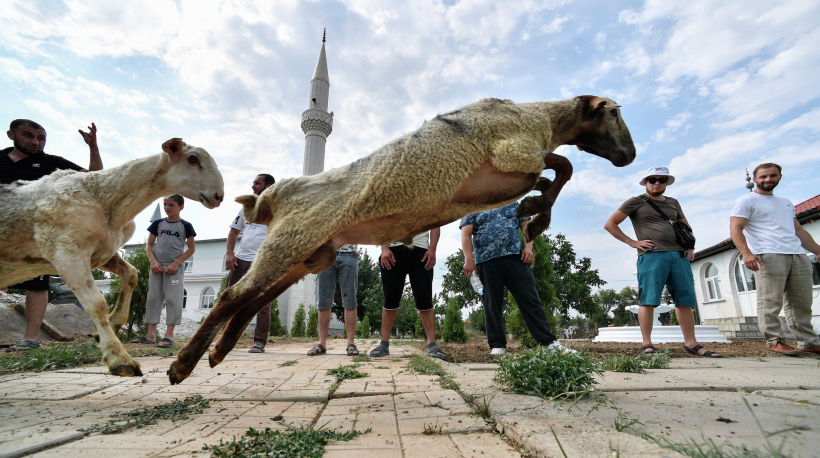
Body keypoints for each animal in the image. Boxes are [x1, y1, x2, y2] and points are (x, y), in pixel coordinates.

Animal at [0, 140, 224, 376]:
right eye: (192, 158)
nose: (219, 196)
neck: (106, 200)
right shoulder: (68, 252)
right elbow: (98, 303)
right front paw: (119, 359)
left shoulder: (102, 253)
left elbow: (131, 274)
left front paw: (114, 324)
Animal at [170, 94, 636, 382]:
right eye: (613, 112)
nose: (630, 155)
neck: (539, 117)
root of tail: (275, 196)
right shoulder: (513, 157)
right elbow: (560, 166)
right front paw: (532, 216)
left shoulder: (510, 173)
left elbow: (556, 173)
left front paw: (531, 215)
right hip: (291, 242)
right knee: (233, 296)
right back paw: (183, 364)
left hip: (310, 256)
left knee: (252, 300)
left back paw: (216, 353)